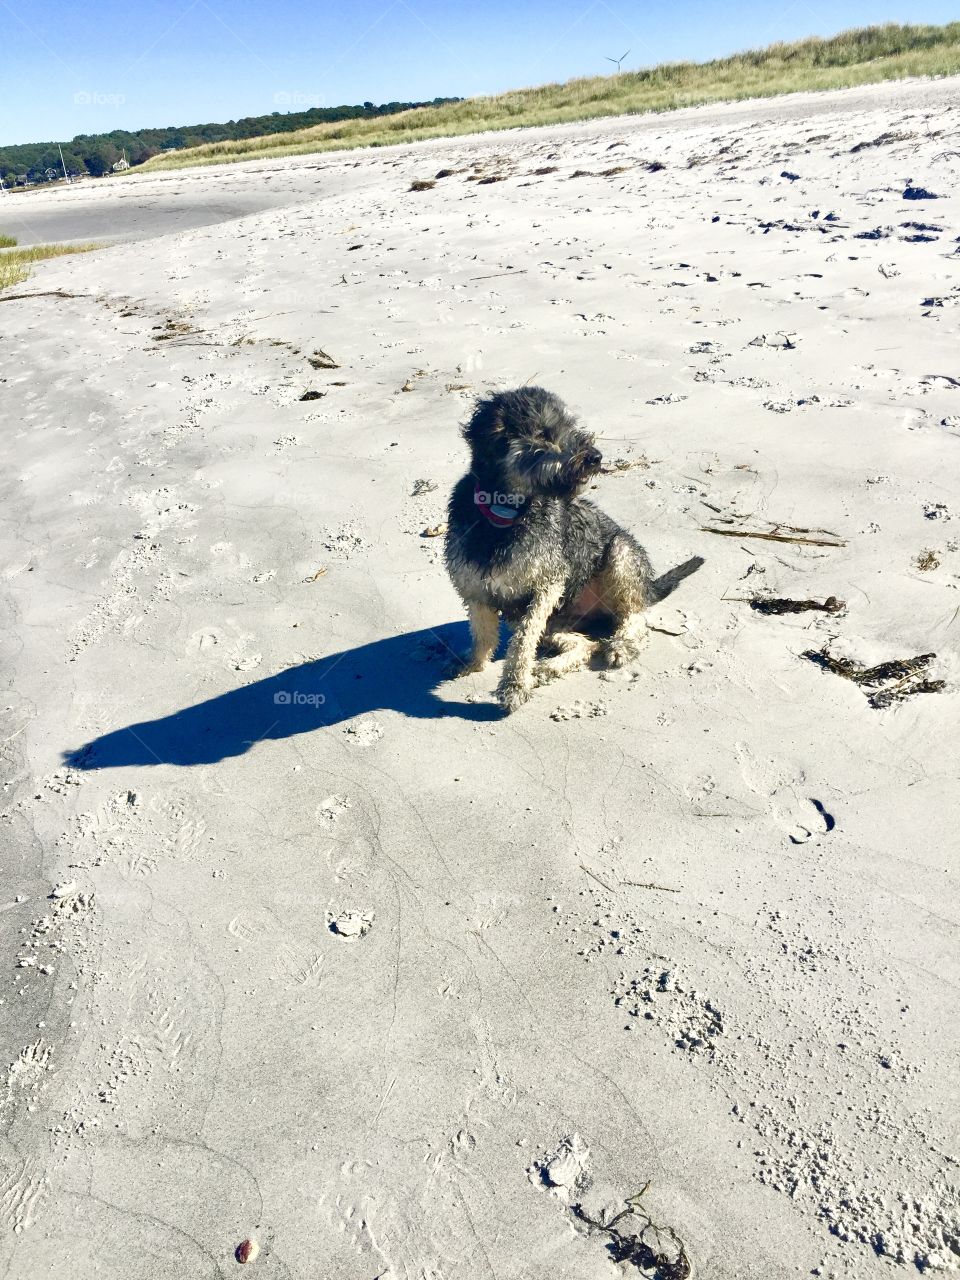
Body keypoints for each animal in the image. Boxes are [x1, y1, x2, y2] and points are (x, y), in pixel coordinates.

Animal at [442, 384, 655, 716]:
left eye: (570, 425)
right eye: (543, 433)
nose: (595, 457)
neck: (505, 516)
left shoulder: (547, 585)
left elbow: (523, 641)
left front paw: (514, 686)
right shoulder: (473, 588)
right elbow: (483, 633)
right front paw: (473, 663)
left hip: (620, 556)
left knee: (635, 617)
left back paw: (618, 646)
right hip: (557, 620)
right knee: (585, 644)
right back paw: (546, 669)